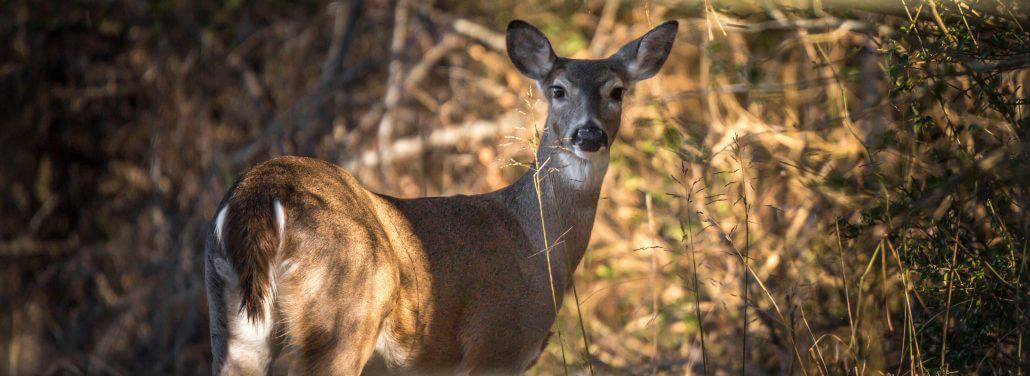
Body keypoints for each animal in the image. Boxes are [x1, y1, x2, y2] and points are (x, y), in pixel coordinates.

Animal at [206, 19, 679, 372]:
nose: (589, 134)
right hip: (342, 321)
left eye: (616, 91)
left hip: (231, 322)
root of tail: (260, 195)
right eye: (558, 90)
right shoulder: (497, 343)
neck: (538, 243)